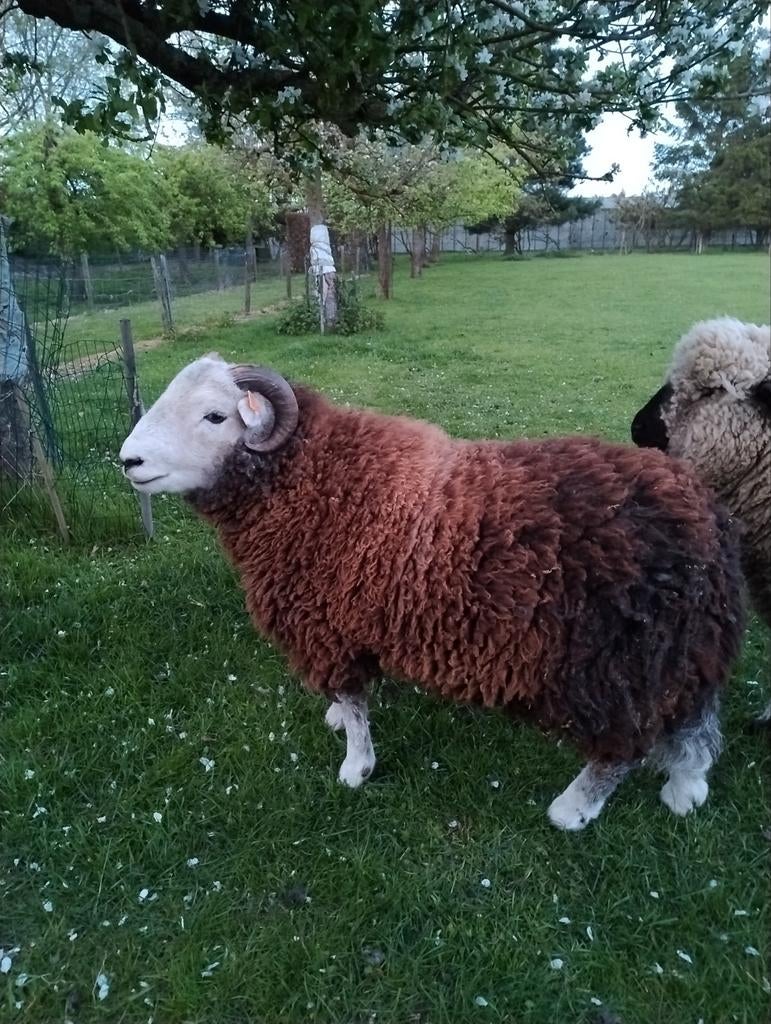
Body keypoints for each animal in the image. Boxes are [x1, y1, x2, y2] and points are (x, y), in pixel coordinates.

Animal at [120, 355, 745, 830]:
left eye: (215, 416)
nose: (128, 460)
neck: (316, 482)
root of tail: (705, 521)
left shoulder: (327, 624)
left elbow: (354, 701)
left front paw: (356, 768)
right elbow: (349, 700)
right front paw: (337, 722)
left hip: (612, 664)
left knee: (624, 745)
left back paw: (572, 809)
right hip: (676, 648)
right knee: (695, 717)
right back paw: (687, 787)